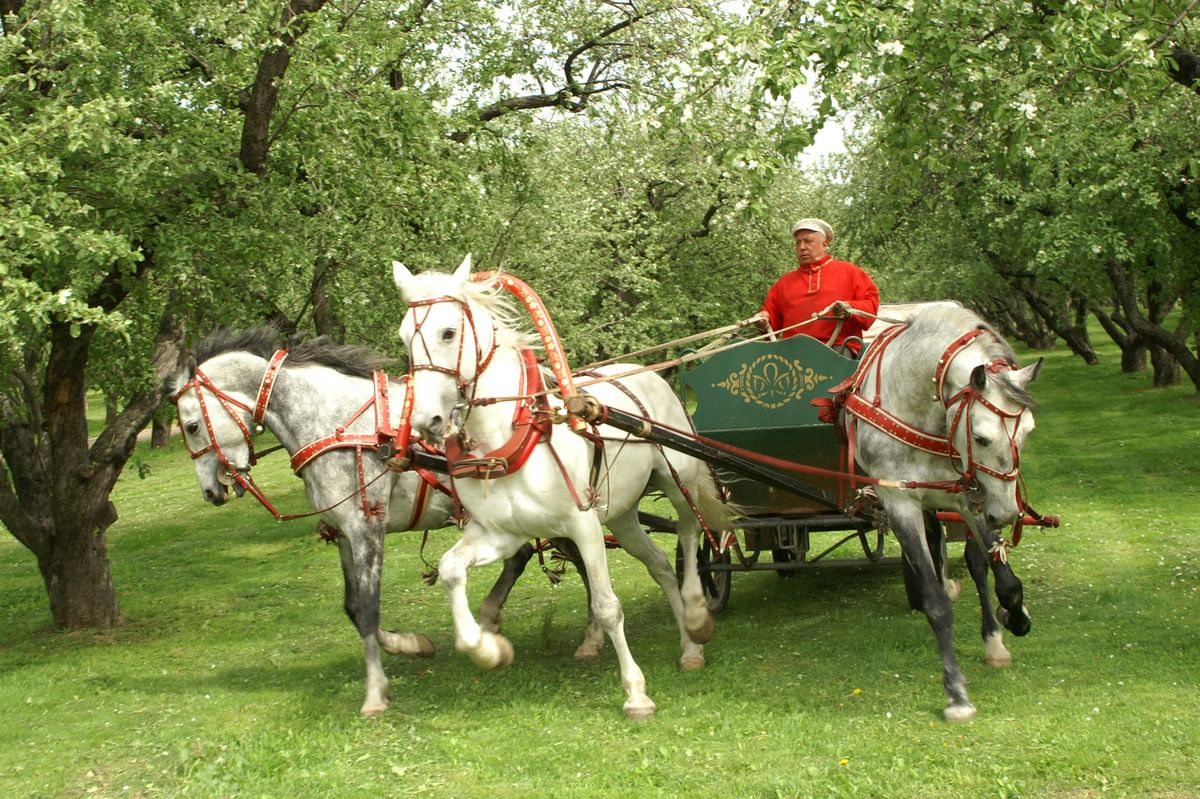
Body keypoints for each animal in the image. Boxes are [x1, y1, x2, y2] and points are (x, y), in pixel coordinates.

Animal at [396, 257, 729, 719]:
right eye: (404, 336)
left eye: (448, 332)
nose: (425, 420)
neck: (513, 434)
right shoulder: (499, 534)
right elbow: (449, 569)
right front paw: (487, 649)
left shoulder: (582, 525)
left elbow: (607, 607)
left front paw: (635, 692)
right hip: (622, 514)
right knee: (661, 564)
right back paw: (690, 646)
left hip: (677, 478)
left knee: (690, 531)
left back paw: (697, 614)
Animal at [844, 302, 1041, 719]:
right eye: (981, 437)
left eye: (1028, 431)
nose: (1007, 514)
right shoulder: (899, 501)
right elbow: (934, 602)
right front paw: (956, 694)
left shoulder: (968, 494)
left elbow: (1003, 579)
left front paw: (1014, 619)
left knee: (974, 562)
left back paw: (993, 635)